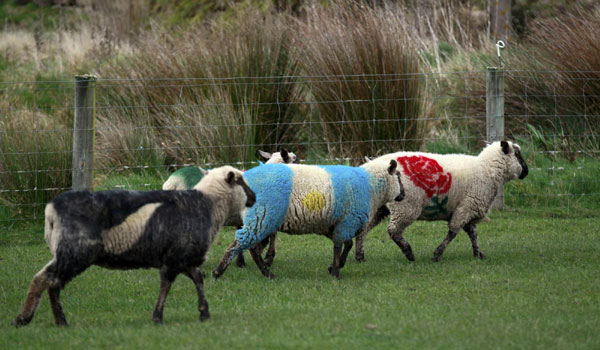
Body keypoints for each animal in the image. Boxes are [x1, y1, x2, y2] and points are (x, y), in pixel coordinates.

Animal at [11, 165, 254, 326]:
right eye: (241, 181)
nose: (254, 198)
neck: (208, 203)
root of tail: (52, 209)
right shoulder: (175, 257)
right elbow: (167, 284)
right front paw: (157, 317)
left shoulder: (182, 257)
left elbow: (198, 278)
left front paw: (204, 312)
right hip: (76, 251)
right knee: (44, 279)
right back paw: (23, 318)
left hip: (65, 251)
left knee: (52, 283)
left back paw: (60, 321)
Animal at [354, 140, 528, 262]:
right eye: (518, 154)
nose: (526, 172)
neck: (487, 169)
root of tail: (369, 166)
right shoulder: (468, 205)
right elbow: (454, 232)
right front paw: (437, 254)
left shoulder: (467, 207)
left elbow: (473, 233)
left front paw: (478, 253)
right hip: (405, 206)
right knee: (393, 230)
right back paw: (408, 253)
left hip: (378, 206)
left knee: (363, 229)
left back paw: (360, 256)